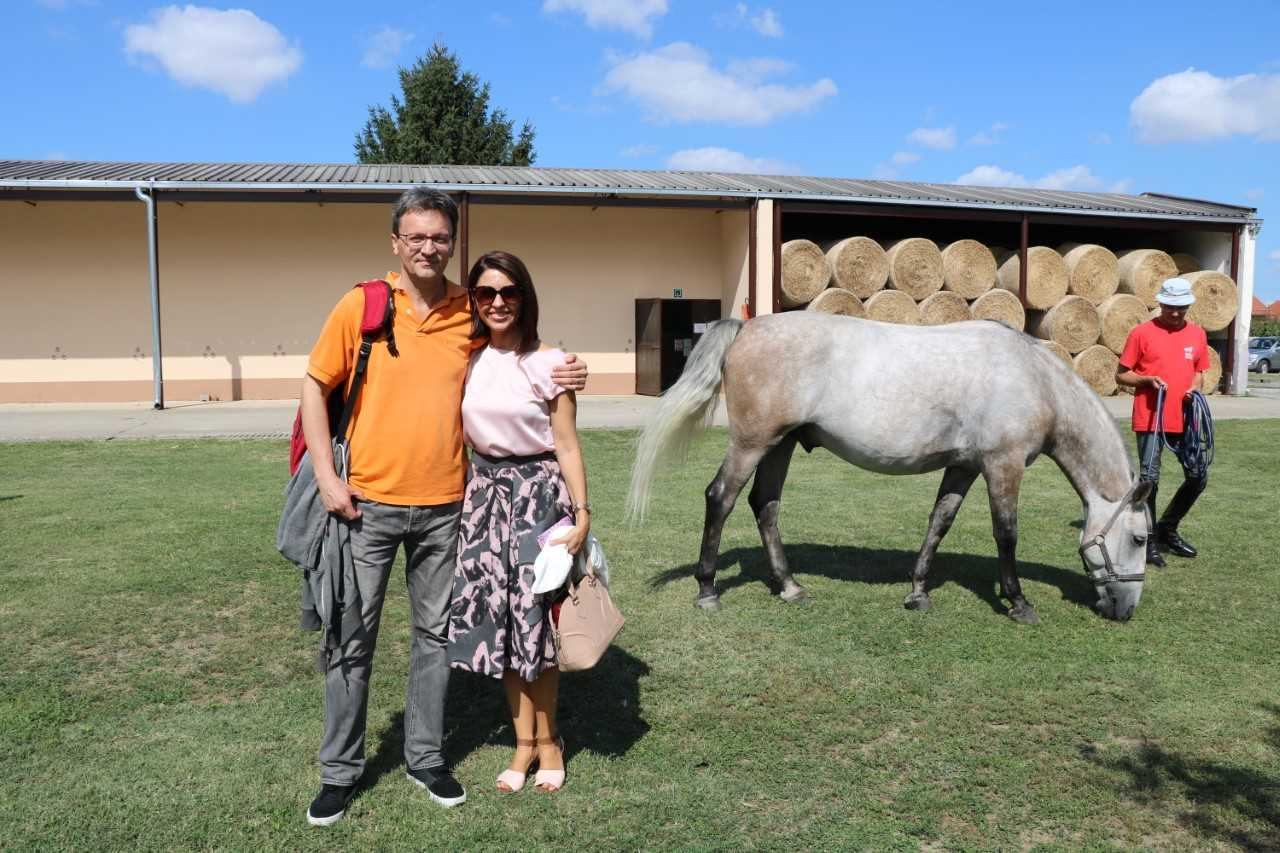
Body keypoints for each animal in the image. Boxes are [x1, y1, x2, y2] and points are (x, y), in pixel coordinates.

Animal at [624, 312, 1157, 617]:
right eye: (1139, 539)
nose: (1125, 610)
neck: (1035, 380)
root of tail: (748, 327)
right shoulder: (1003, 465)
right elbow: (1006, 532)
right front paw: (1018, 601)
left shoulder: (964, 466)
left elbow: (940, 522)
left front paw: (918, 592)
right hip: (754, 442)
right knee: (722, 498)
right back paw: (707, 589)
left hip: (781, 444)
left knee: (765, 505)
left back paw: (790, 586)